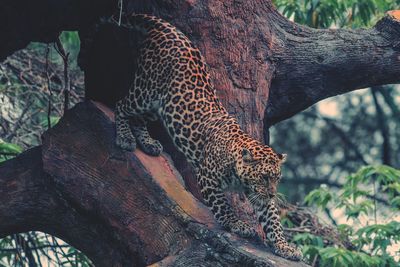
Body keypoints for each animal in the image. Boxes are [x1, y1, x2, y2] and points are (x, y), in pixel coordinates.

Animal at [111, 13, 300, 262]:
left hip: (161, 105)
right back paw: (124, 137)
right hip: (146, 90)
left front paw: (285, 247)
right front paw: (239, 225)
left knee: (139, 119)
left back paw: (149, 143)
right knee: (122, 105)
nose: (272, 194)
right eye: (264, 177)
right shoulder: (207, 178)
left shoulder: (257, 195)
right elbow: (223, 206)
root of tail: (168, 29)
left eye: (277, 178)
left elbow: (272, 221)